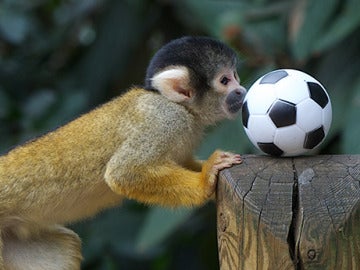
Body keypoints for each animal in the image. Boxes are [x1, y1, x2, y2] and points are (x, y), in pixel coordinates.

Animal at [0, 36, 245, 270]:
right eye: (225, 80)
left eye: (235, 75)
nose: (241, 90)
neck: (177, 105)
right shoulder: (164, 120)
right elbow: (124, 173)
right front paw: (206, 180)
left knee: (66, 245)